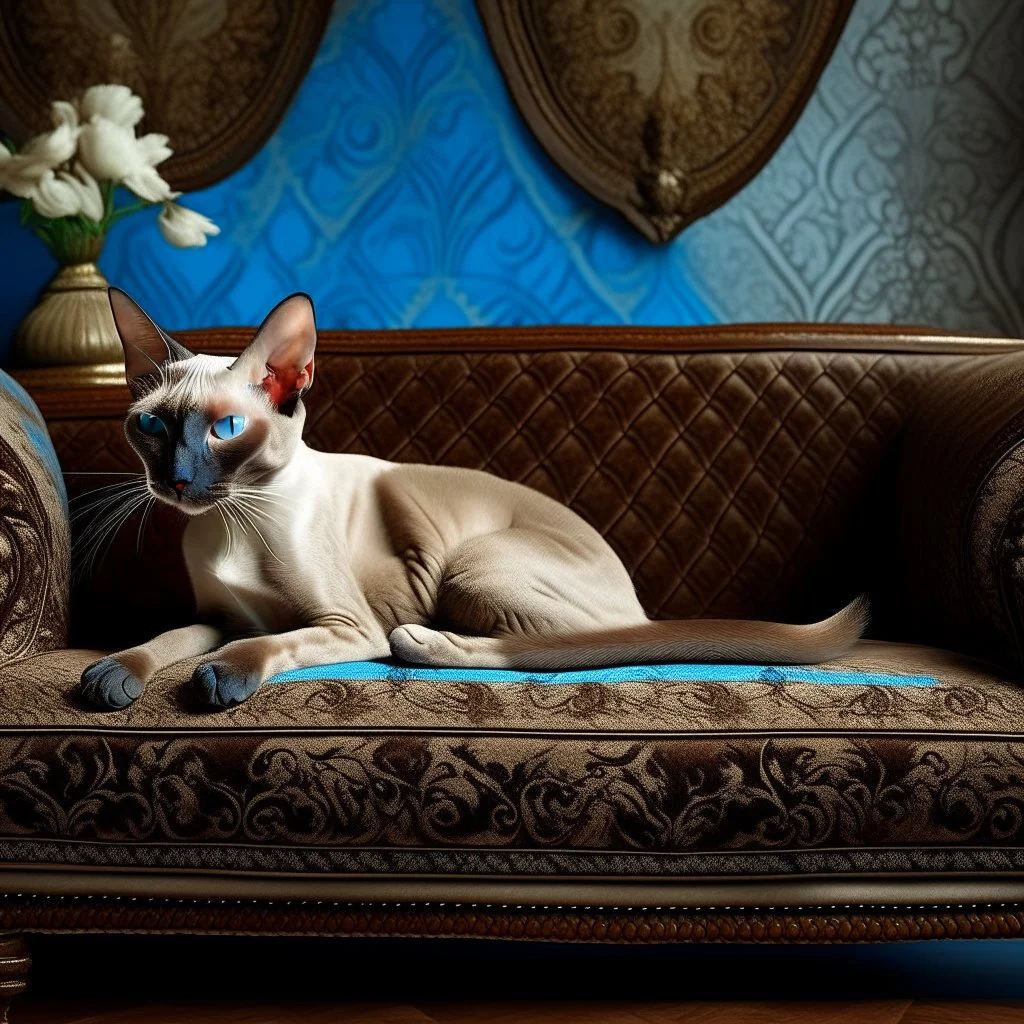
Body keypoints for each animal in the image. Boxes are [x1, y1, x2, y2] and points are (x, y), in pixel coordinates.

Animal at [77, 284, 872, 708]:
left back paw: (426, 640)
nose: (177, 482)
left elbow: (265, 641)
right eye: (153, 426)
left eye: (226, 430)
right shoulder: (212, 615)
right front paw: (115, 675)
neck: (233, 523)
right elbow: (164, 640)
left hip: (468, 566)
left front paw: (221, 678)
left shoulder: (343, 625)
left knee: (558, 648)